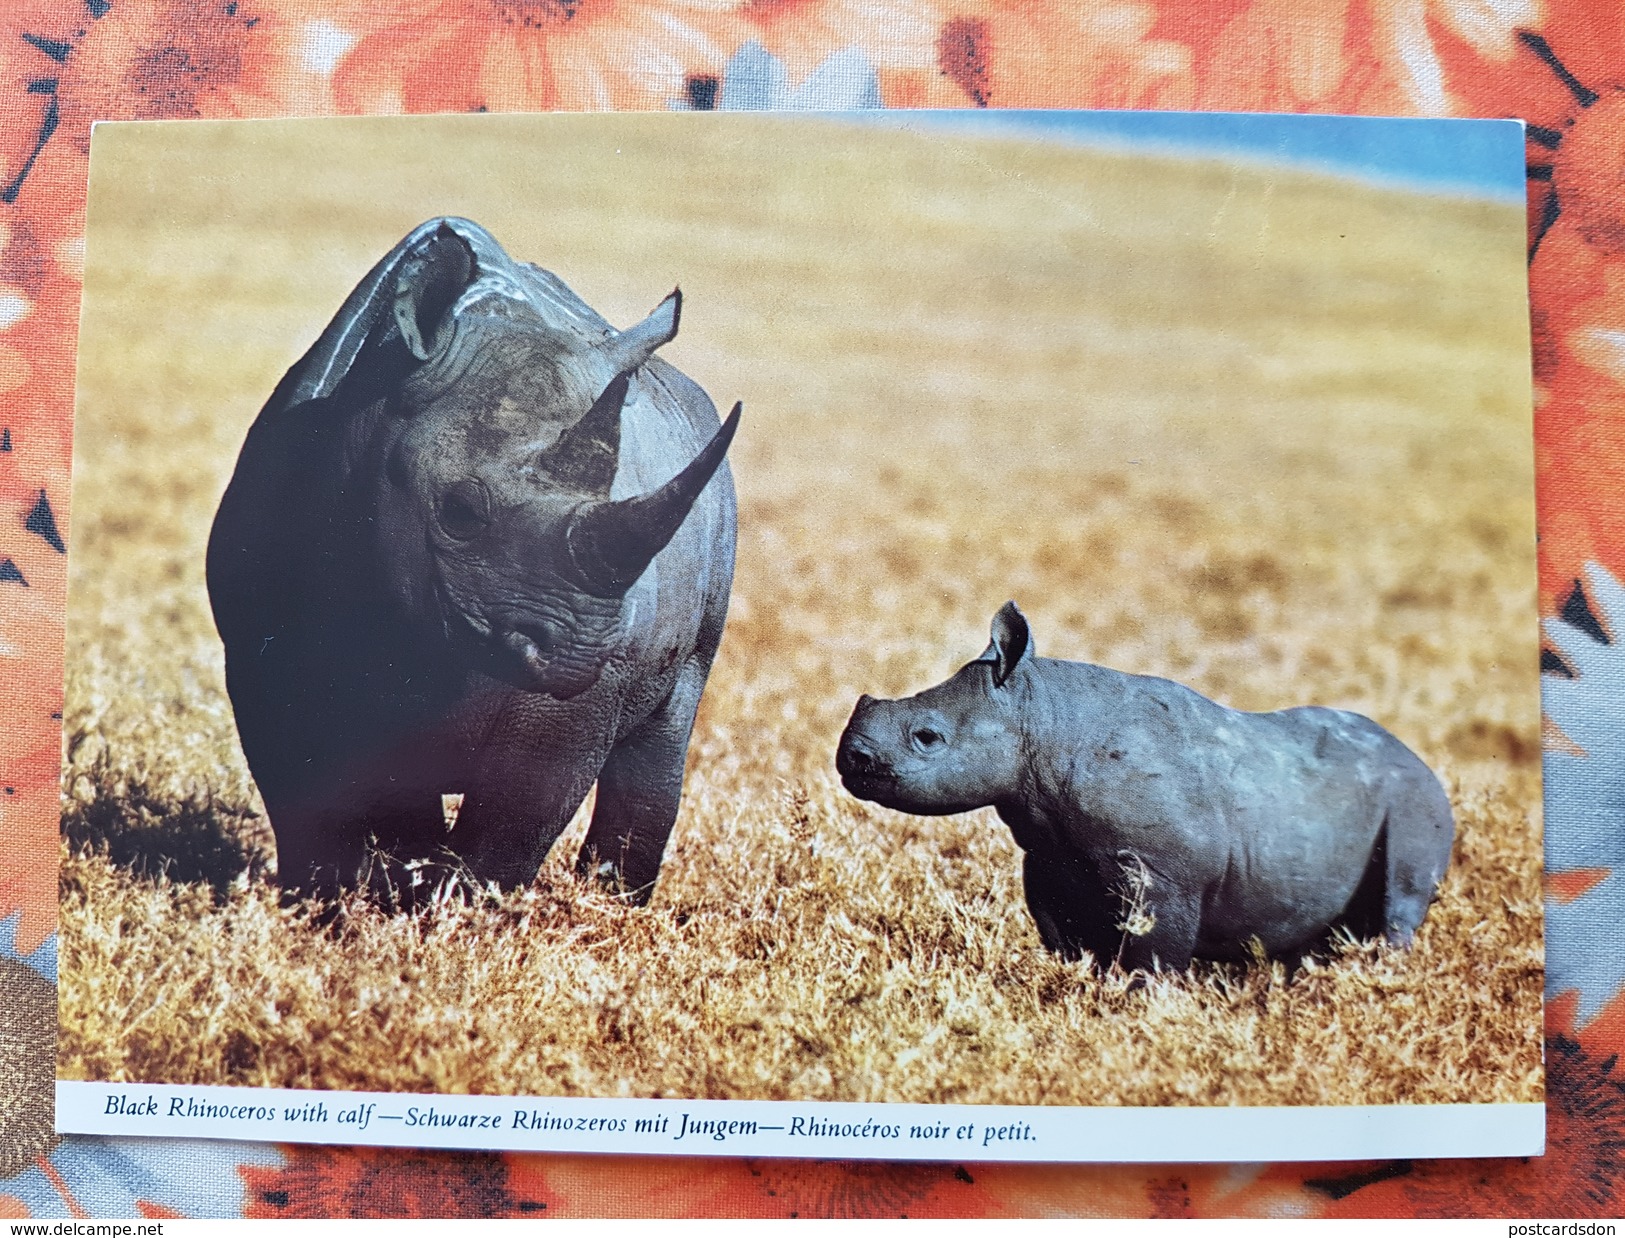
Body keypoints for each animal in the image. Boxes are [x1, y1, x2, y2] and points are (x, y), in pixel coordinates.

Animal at [206, 217, 741, 903]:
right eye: (459, 512)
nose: (576, 652)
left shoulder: (581, 696)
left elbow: (515, 817)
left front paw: (461, 913)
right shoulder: (256, 647)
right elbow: (304, 792)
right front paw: (322, 903)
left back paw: (612, 906)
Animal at [838, 604, 1449, 968]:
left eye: (927, 737)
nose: (849, 760)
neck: (1042, 718)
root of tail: (1420, 758)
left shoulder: (1165, 869)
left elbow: (1153, 949)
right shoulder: (1049, 854)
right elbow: (1065, 935)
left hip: (1414, 797)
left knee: (1401, 897)